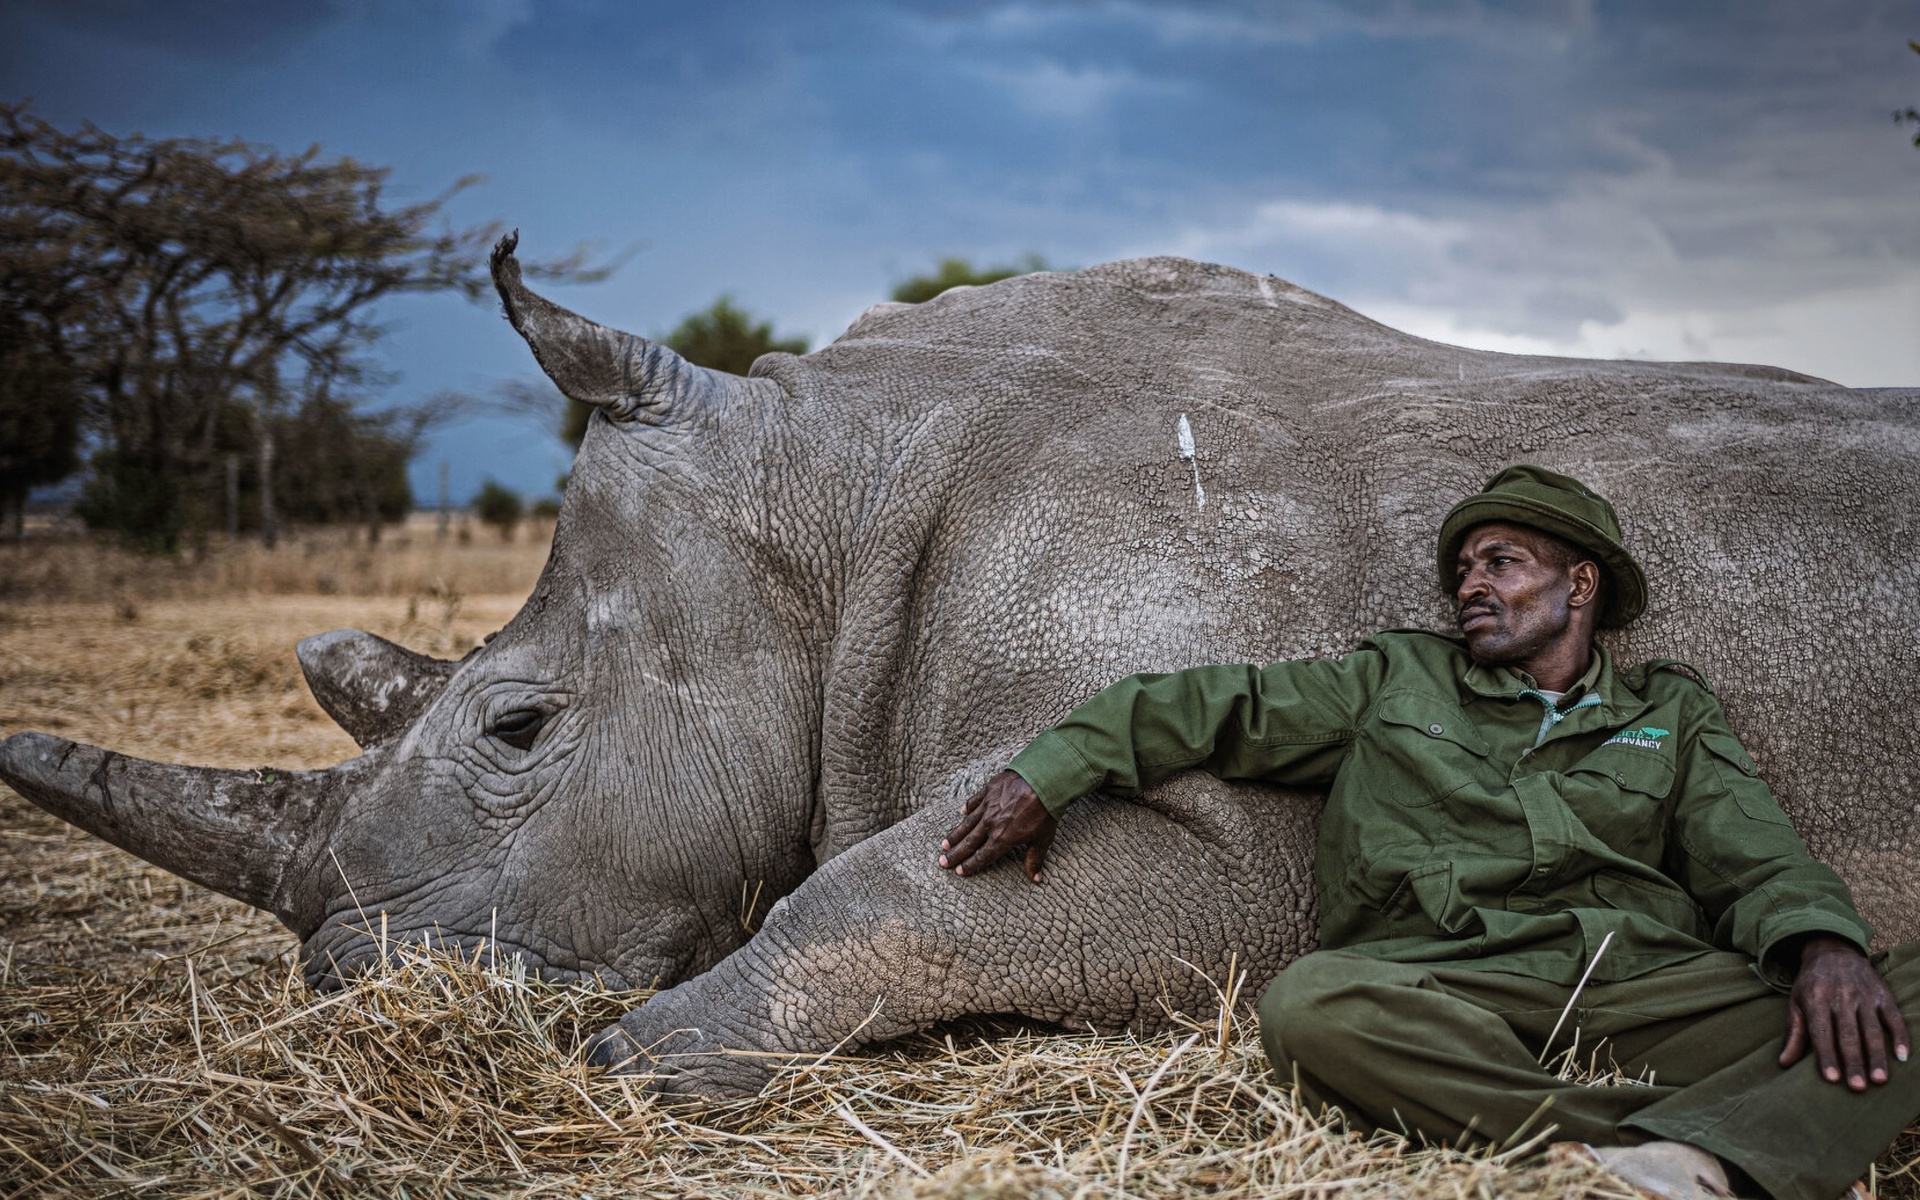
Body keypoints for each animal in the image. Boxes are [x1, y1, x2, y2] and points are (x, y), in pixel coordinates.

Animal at [3, 231, 1920, 1098]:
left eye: (521, 725)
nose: (347, 991)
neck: (827, 506)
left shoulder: (1243, 841)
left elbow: (875, 892)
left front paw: (638, 1062)